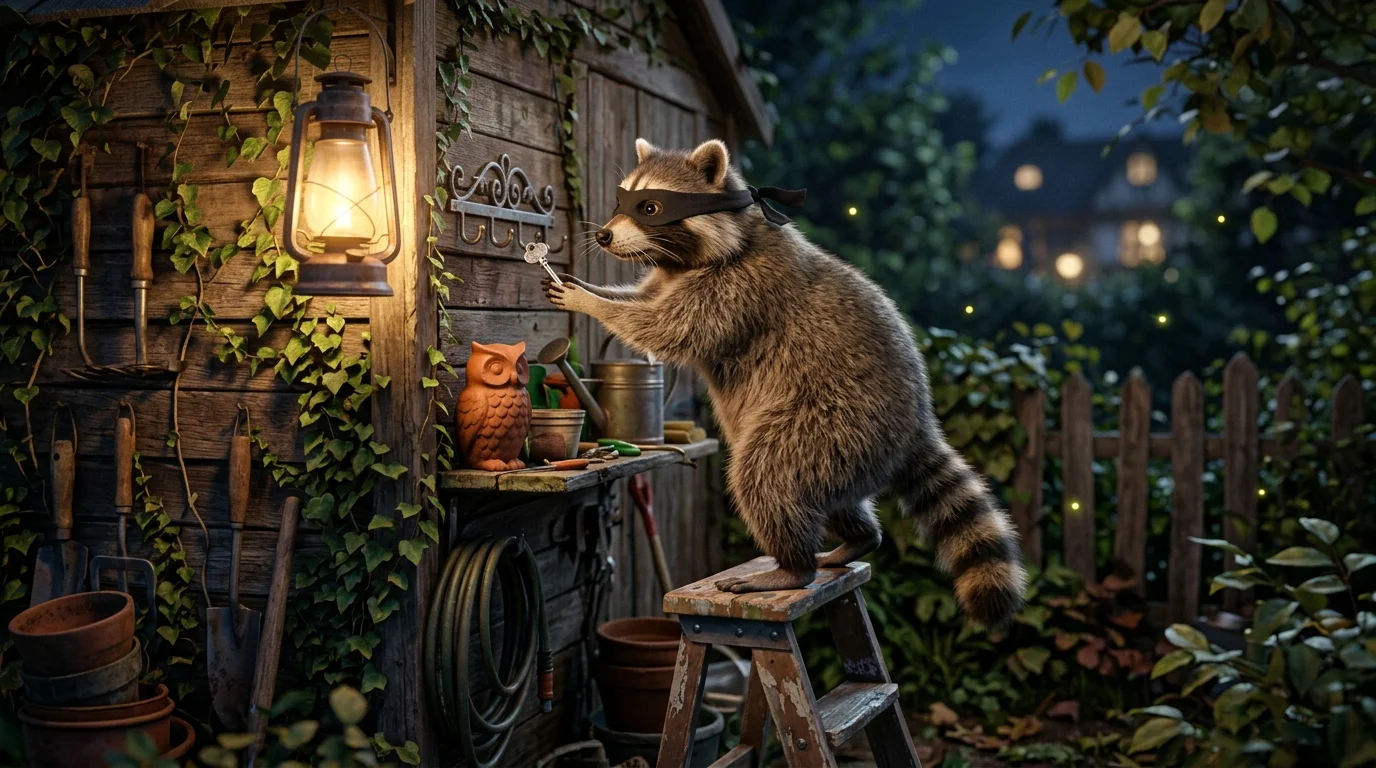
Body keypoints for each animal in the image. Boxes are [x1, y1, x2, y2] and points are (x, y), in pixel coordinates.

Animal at [545, 138, 1027, 626]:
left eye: (650, 207)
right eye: (620, 203)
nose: (604, 236)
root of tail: (919, 425)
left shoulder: (740, 288)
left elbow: (667, 329)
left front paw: (589, 302)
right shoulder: (670, 276)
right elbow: (642, 300)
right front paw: (591, 287)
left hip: (837, 421)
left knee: (767, 474)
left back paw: (793, 566)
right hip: (848, 454)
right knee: (825, 494)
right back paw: (858, 536)